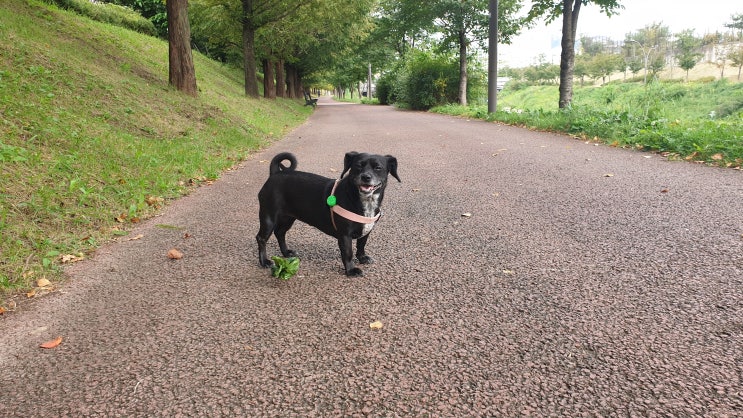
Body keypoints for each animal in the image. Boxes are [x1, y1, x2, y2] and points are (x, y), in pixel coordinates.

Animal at [258, 152, 398, 276]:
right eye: (358, 166)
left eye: (378, 167)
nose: (366, 177)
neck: (364, 201)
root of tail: (275, 173)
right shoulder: (345, 235)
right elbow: (348, 253)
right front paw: (351, 270)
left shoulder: (366, 230)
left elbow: (361, 245)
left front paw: (362, 258)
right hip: (268, 217)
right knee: (261, 238)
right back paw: (264, 261)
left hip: (288, 218)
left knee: (280, 233)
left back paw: (286, 253)